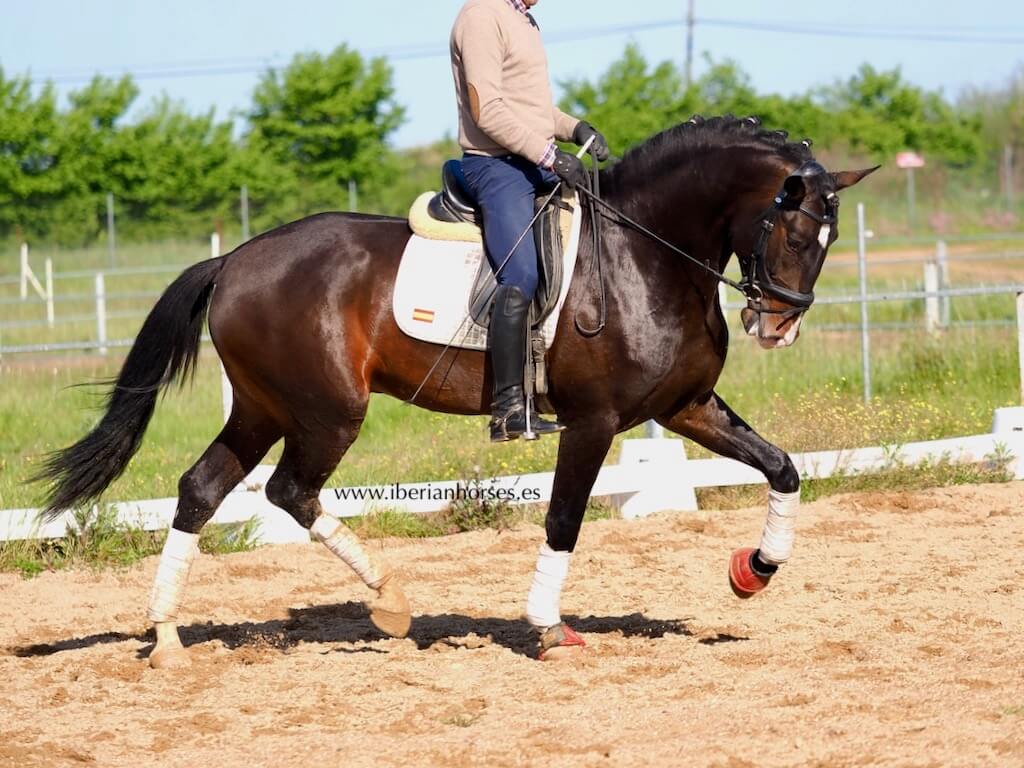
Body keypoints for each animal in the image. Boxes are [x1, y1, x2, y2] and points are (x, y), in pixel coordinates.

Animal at [37, 115, 875, 667]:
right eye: (793, 231)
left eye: (829, 240)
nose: (779, 326)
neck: (648, 251)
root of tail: (237, 257)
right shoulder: (594, 421)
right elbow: (565, 519)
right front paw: (548, 626)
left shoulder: (683, 407)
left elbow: (783, 468)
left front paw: (753, 572)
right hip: (326, 412)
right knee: (288, 491)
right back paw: (389, 601)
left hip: (263, 407)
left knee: (203, 488)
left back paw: (169, 638)